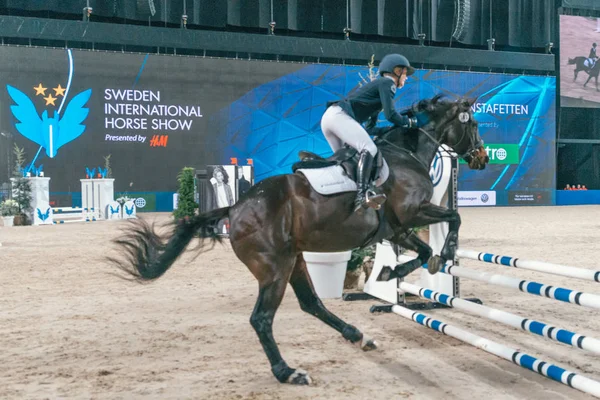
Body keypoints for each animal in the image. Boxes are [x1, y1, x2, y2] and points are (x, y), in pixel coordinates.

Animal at [110, 94, 490, 384]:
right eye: (473, 124)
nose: (483, 157)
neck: (405, 155)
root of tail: (235, 207)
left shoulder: (397, 229)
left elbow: (423, 251)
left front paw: (390, 273)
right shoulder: (413, 213)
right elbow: (454, 219)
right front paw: (446, 253)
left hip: (293, 260)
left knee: (312, 303)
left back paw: (359, 336)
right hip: (274, 268)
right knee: (263, 318)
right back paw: (288, 372)